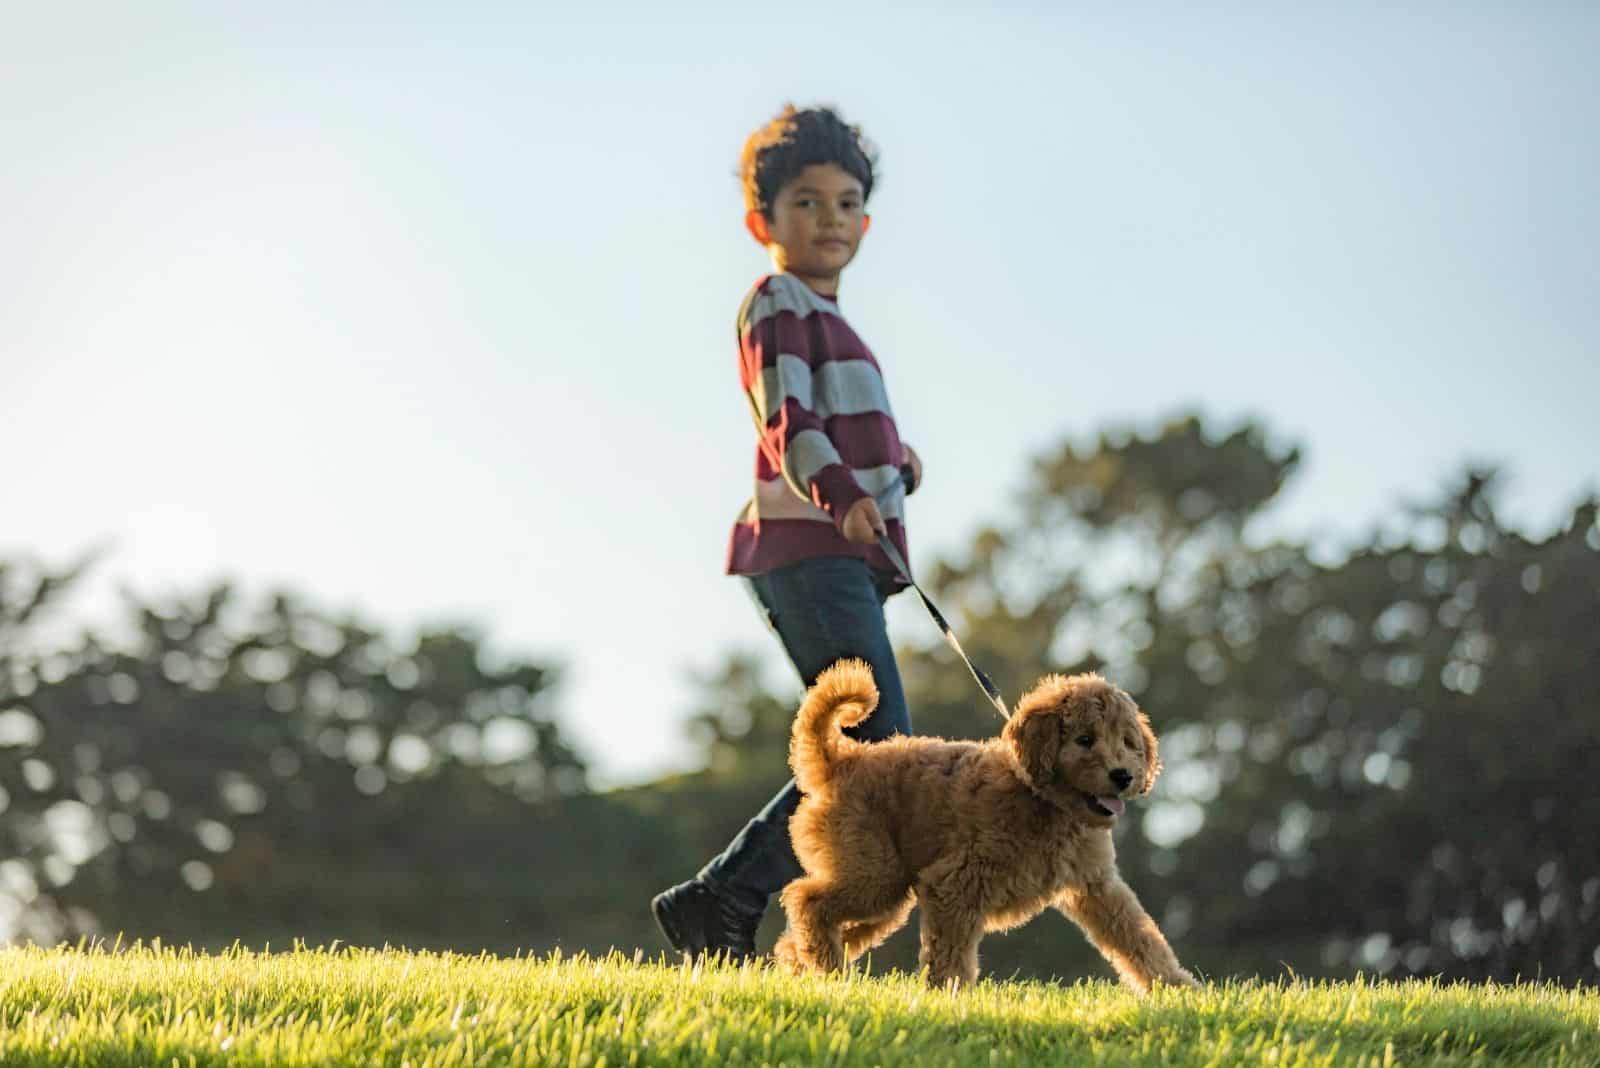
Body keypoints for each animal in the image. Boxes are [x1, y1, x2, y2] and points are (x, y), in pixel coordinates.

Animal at [768, 658, 1196, 991]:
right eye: (1085, 739)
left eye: (1127, 742)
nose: (1123, 776)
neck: (1043, 800)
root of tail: (840, 759)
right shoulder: (955, 884)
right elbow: (951, 950)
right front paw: (948, 995)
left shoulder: (1097, 887)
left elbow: (1138, 936)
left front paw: (1175, 987)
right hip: (874, 874)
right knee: (806, 899)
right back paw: (828, 968)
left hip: (880, 887)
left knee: (818, 923)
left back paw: (803, 964)